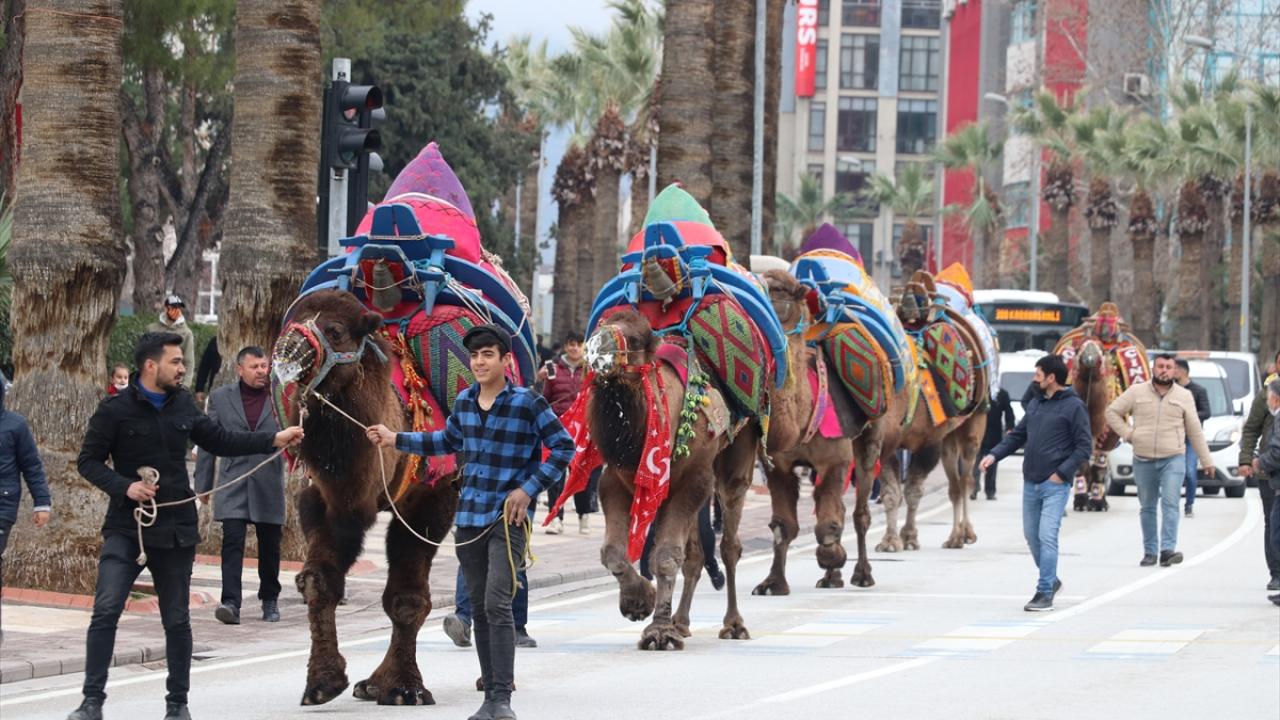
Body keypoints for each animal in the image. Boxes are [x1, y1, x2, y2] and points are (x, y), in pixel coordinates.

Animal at [273, 289, 458, 706]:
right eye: (294, 319)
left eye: (336, 331)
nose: (285, 350)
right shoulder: (323, 499)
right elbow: (318, 581)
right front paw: (322, 682)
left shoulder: (433, 497)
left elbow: (406, 598)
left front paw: (402, 688)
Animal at [585, 307, 758, 650]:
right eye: (599, 325)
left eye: (634, 339)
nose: (596, 350)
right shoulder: (615, 480)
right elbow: (612, 553)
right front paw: (639, 602)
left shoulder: (691, 481)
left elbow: (665, 556)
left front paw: (658, 632)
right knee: (695, 553)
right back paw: (681, 622)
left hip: (735, 457)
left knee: (729, 543)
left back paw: (733, 624)